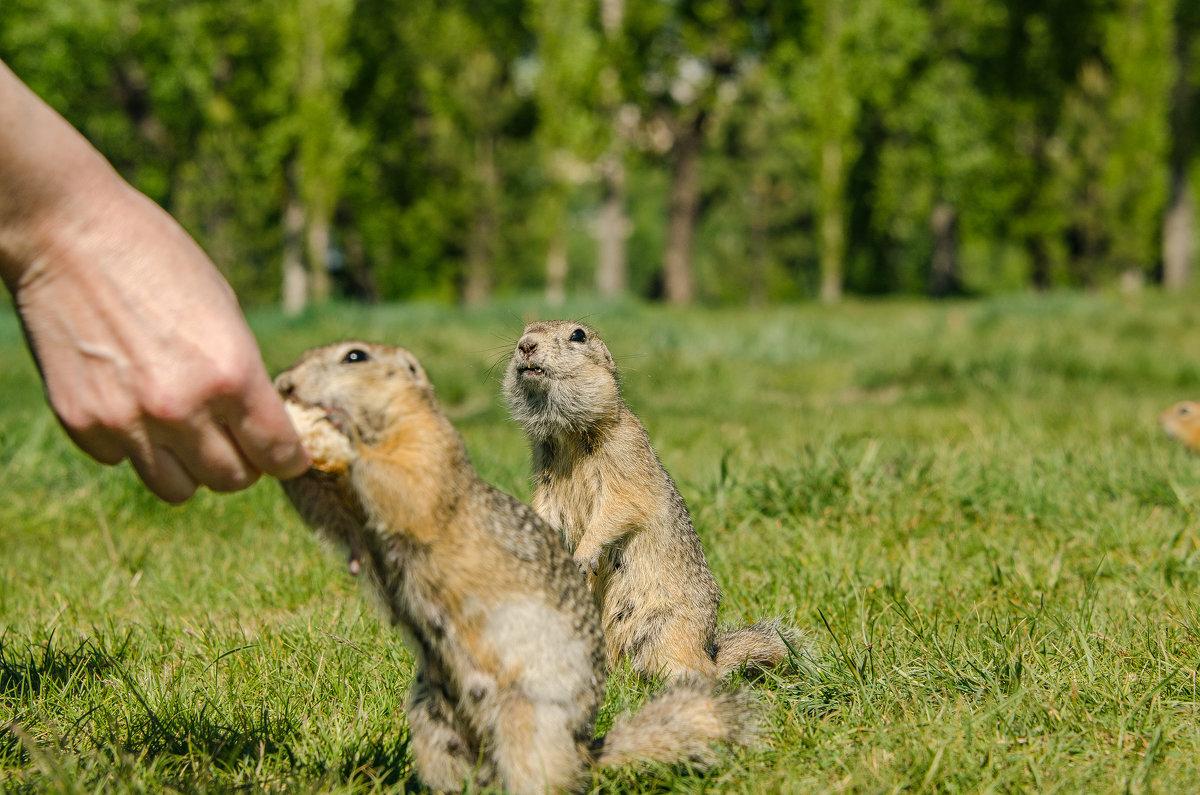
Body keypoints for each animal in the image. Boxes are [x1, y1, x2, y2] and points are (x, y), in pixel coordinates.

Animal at [501, 321, 801, 682]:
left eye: (578, 335)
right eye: (526, 329)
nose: (526, 345)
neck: (568, 434)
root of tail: (711, 655)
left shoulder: (626, 453)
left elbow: (623, 503)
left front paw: (583, 556)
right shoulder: (543, 472)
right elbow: (545, 510)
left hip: (667, 628)